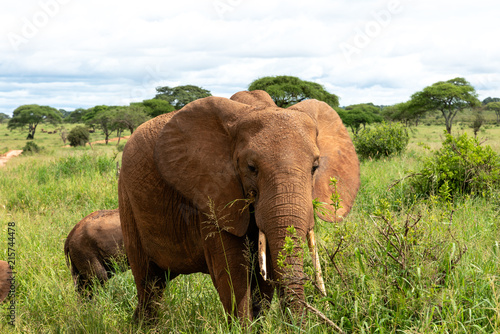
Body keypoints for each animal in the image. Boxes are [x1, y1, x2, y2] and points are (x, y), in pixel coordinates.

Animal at [118, 90, 358, 322]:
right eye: (251, 168)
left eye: (315, 167)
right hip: (127, 200)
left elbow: (265, 274)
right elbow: (232, 271)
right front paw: (243, 325)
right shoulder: (212, 194)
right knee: (148, 283)